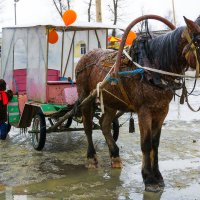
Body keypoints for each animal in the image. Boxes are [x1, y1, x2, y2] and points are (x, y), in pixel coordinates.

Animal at [74, 16, 200, 192]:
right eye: (199, 42)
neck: (153, 69)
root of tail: (86, 54)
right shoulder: (144, 111)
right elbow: (146, 144)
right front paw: (149, 179)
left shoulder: (162, 110)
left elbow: (155, 144)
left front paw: (158, 176)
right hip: (86, 97)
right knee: (88, 128)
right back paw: (91, 158)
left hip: (111, 101)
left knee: (104, 124)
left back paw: (115, 156)